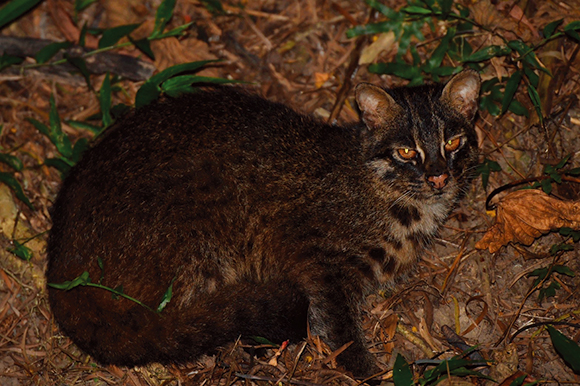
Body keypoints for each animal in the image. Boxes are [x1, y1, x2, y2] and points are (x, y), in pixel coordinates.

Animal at [45, 69, 480, 376]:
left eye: (454, 142)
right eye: (406, 151)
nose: (439, 177)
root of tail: (60, 271)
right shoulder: (316, 259)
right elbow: (341, 331)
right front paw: (368, 372)